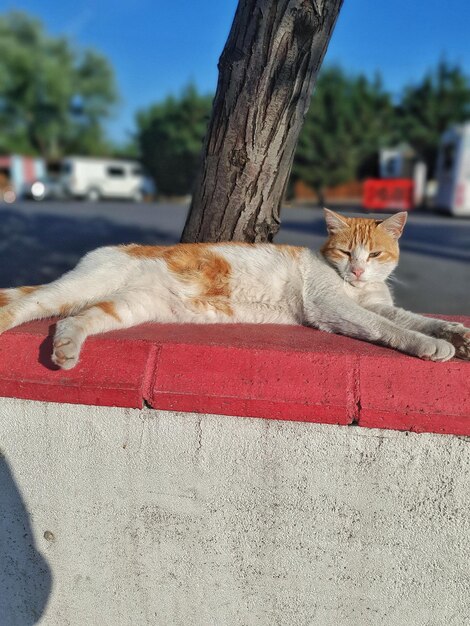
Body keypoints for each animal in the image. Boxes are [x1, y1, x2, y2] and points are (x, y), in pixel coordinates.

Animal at [0, 208, 470, 370]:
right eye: (344, 251)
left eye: (373, 254)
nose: (355, 270)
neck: (353, 289)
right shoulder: (332, 308)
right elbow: (386, 328)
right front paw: (432, 346)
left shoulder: (377, 303)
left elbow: (413, 318)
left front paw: (456, 334)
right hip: (77, 286)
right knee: (28, 302)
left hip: (126, 308)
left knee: (72, 322)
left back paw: (66, 352)